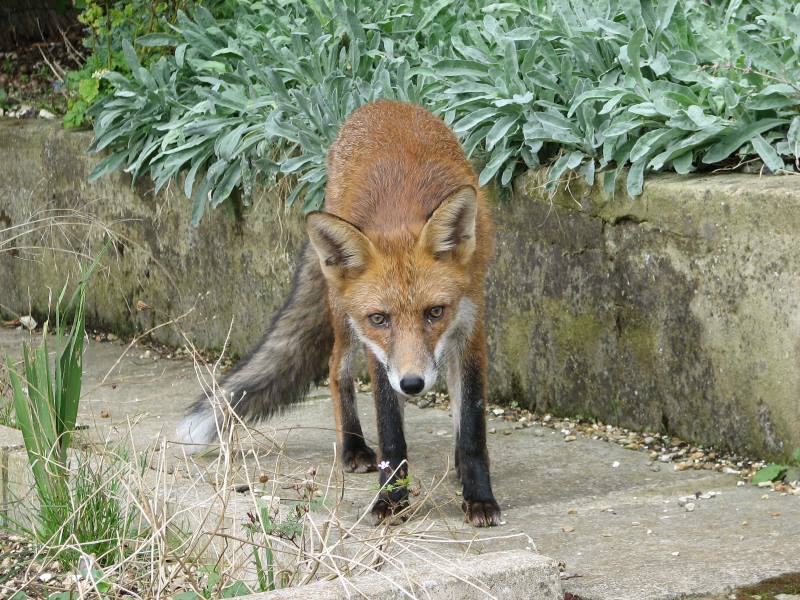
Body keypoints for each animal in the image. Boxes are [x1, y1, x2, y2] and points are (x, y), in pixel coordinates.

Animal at [177, 99, 500, 527]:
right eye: (380, 318)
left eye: (435, 311)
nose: (413, 384)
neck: (402, 211)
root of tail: (383, 103)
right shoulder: (378, 350)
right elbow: (391, 432)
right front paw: (391, 499)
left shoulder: (469, 325)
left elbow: (472, 426)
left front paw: (478, 496)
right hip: (343, 318)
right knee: (336, 370)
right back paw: (353, 447)